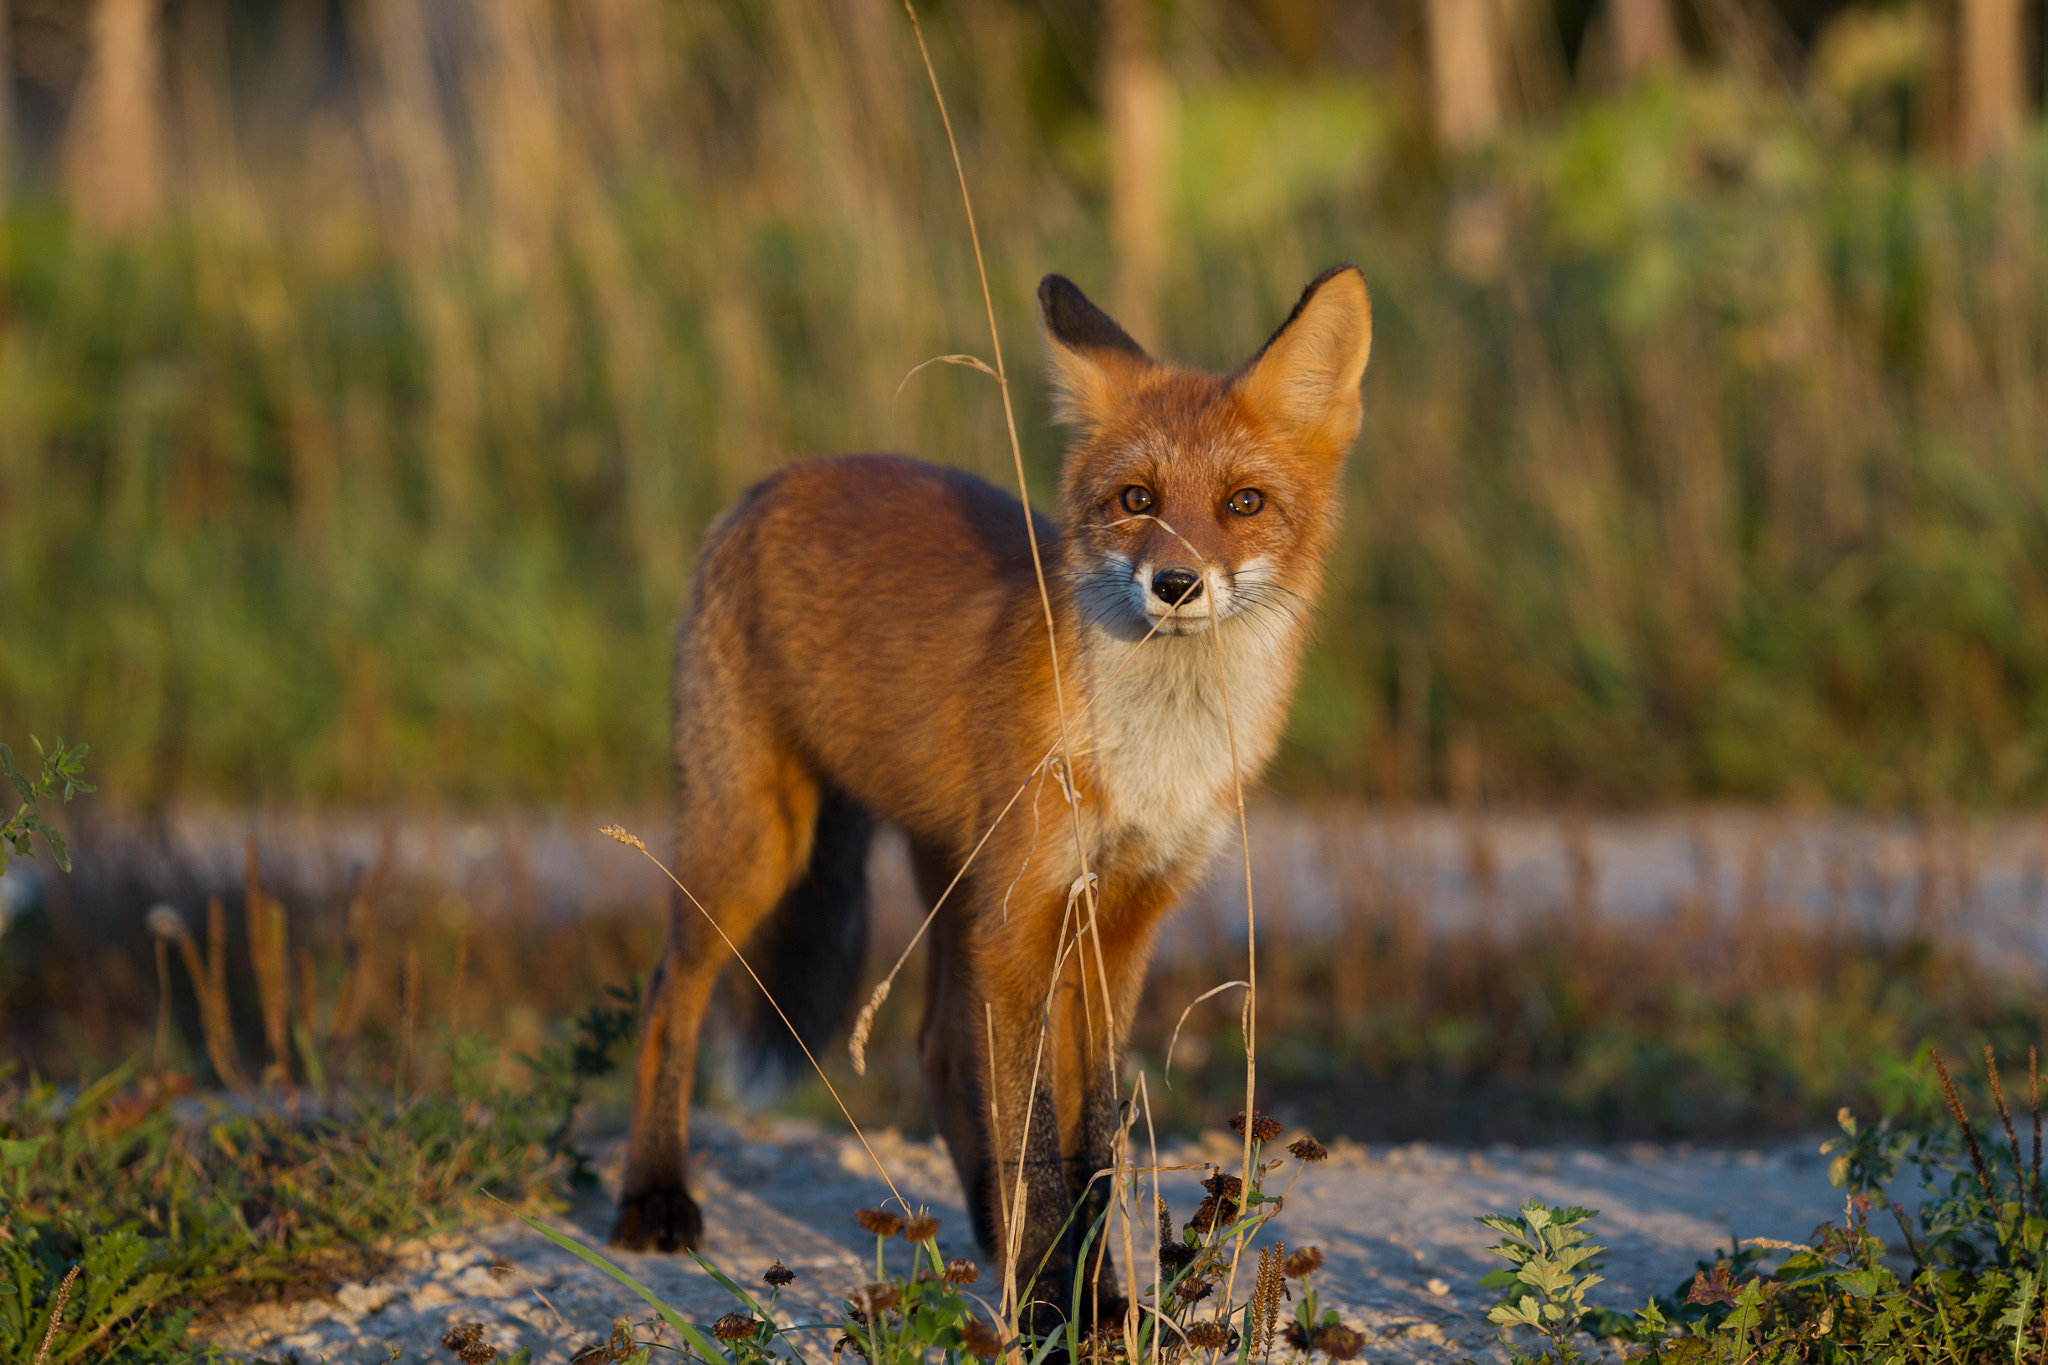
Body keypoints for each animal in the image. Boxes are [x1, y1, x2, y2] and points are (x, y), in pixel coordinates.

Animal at [611, 265, 1372, 1307]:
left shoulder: (1119, 921)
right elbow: (1040, 1138)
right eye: (1136, 497)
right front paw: (1059, 1300)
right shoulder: (1023, 918)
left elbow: (1094, 1140)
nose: (1176, 583)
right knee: (666, 998)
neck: (1148, 756)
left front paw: (1087, 1295)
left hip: (947, 876)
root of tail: (779, 476)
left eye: (1244, 502)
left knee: (937, 1044)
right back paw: (654, 1195)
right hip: (760, 842)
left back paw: (984, 1232)